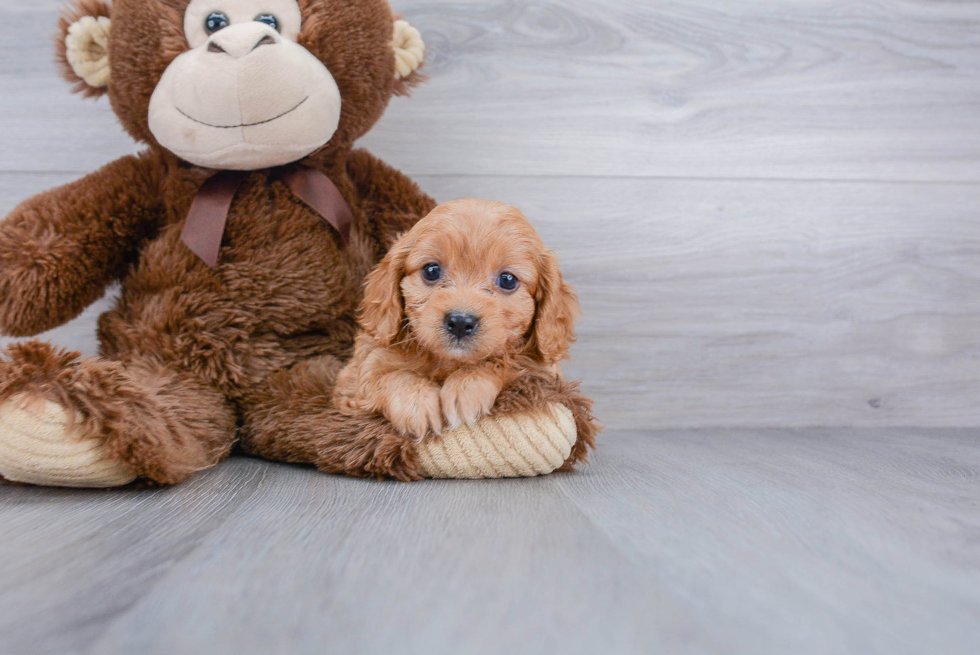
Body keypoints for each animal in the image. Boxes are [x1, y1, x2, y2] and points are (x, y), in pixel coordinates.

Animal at [336, 196, 580, 440]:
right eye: (431, 270)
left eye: (508, 280)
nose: (461, 322)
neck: (448, 362)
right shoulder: (354, 377)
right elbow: (385, 375)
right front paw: (415, 403)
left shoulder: (544, 372)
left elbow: (509, 361)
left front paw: (466, 387)